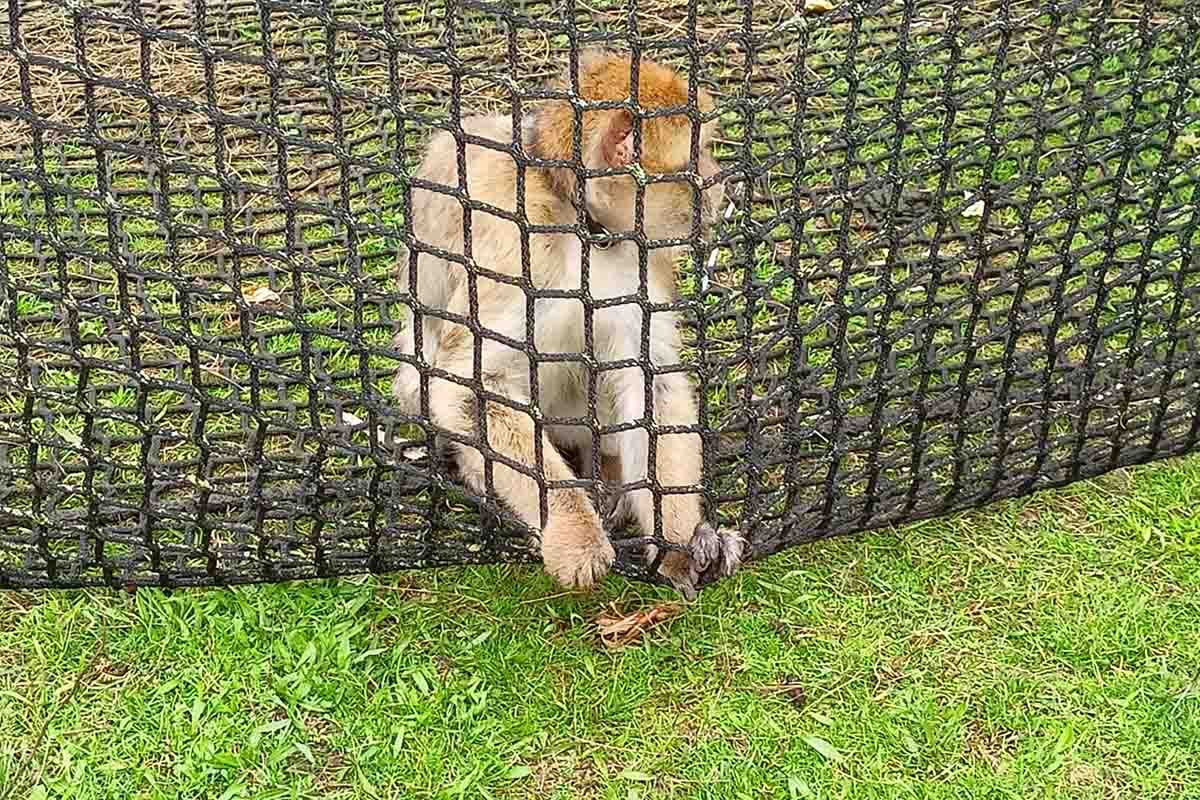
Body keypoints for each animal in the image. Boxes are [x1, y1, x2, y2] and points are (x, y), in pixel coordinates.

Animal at [391, 48, 739, 599]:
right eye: (697, 158)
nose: (719, 181)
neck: (584, 227)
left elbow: (649, 382)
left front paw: (680, 540)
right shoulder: (515, 247)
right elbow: (468, 389)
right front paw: (573, 531)